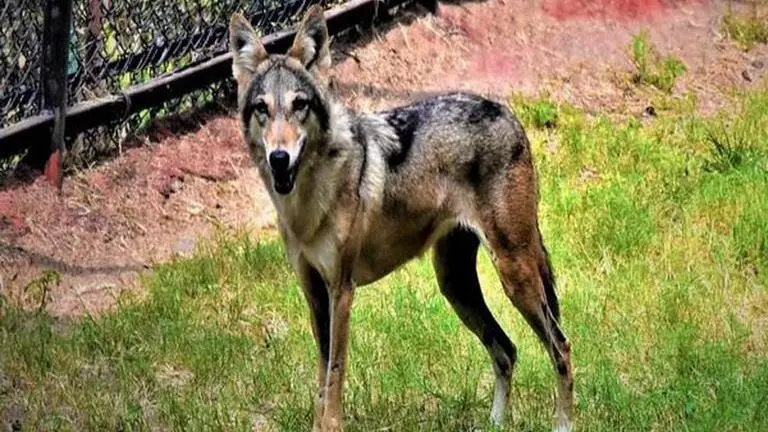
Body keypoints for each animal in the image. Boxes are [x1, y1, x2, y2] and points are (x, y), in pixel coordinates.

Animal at [229, 5, 574, 432]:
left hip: (515, 276)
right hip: (455, 286)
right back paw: (494, 423)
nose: (279, 158)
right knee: (507, 350)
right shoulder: (314, 295)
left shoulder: (341, 291)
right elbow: (321, 381)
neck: (308, 205)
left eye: (299, 105)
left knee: (560, 346)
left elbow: (335, 375)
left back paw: (563, 422)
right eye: (262, 108)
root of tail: (506, 113)